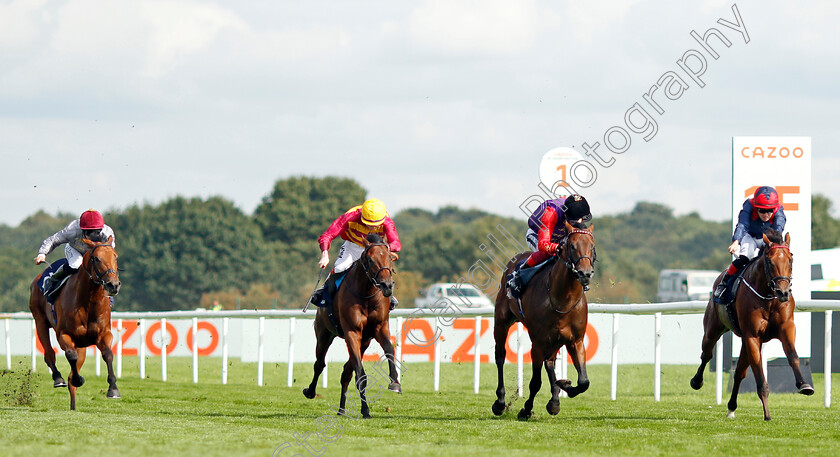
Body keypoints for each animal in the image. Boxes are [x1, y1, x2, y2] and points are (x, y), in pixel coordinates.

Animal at [28, 235, 120, 410]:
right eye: (96, 258)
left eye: (115, 257)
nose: (113, 284)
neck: (88, 301)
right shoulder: (63, 334)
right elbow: (71, 356)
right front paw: (78, 379)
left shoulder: (103, 334)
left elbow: (108, 354)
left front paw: (113, 389)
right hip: (39, 320)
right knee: (49, 354)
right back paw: (58, 378)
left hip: (82, 345)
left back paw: (73, 406)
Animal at [304, 233, 402, 418]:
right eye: (370, 260)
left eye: (390, 258)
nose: (387, 285)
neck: (367, 295)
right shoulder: (352, 332)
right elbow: (361, 376)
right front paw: (366, 410)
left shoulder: (380, 328)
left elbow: (389, 351)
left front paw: (395, 383)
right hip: (324, 334)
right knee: (319, 364)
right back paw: (310, 392)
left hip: (365, 342)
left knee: (346, 372)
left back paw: (342, 409)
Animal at [492, 223, 596, 418]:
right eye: (572, 246)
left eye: (592, 247)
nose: (585, 273)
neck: (563, 299)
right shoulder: (538, 343)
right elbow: (535, 383)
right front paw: (526, 410)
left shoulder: (575, 341)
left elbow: (584, 382)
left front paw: (564, 386)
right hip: (501, 322)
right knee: (500, 356)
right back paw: (500, 402)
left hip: (556, 340)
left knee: (550, 363)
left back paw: (555, 400)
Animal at [688, 230, 812, 418]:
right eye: (770, 261)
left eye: (791, 259)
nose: (783, 292)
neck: (768, 297)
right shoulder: (752, 336)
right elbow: (759, 373)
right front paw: (767, 413)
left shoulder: (786, 328)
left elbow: (793, 355)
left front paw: (804, 385)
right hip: (713, 329)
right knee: (707, 354)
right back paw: (696, 381)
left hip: (744, 342)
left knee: (739, 372)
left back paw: (731, 407)